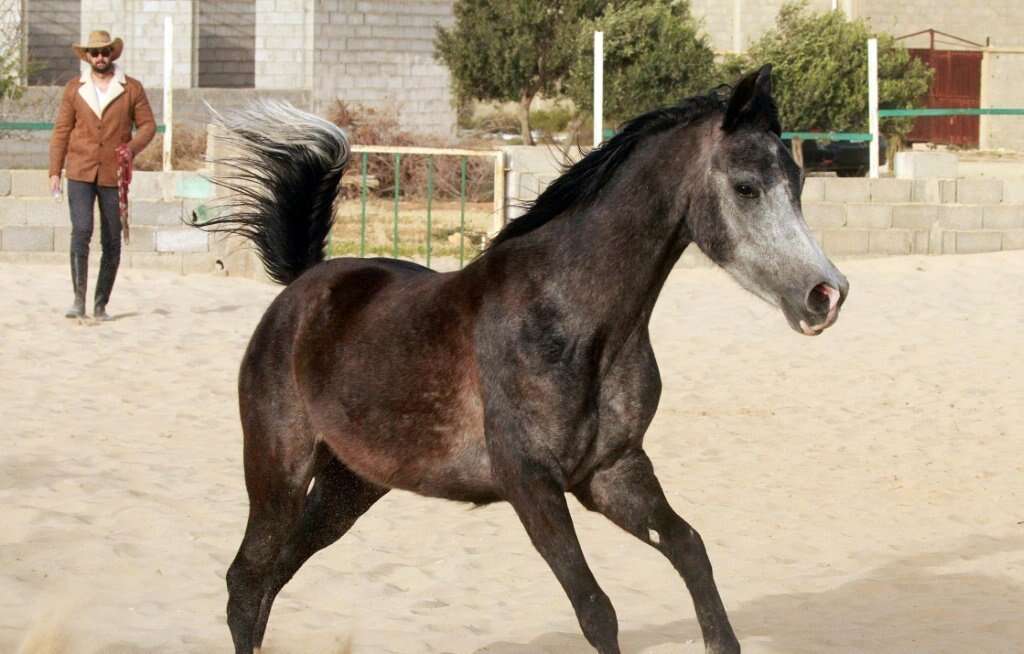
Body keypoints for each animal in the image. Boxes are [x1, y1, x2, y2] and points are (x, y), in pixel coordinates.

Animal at [197, 66, 847, 654]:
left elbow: (692, 551)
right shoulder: (530, 482)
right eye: (746, 187)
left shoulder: (612, 472)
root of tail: (303, 286)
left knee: (276, 572)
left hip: (349, 487)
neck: (574, 320)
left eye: (798, 182)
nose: (826, 295)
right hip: (278, 467)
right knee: (246, 581)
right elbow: (596, 609)